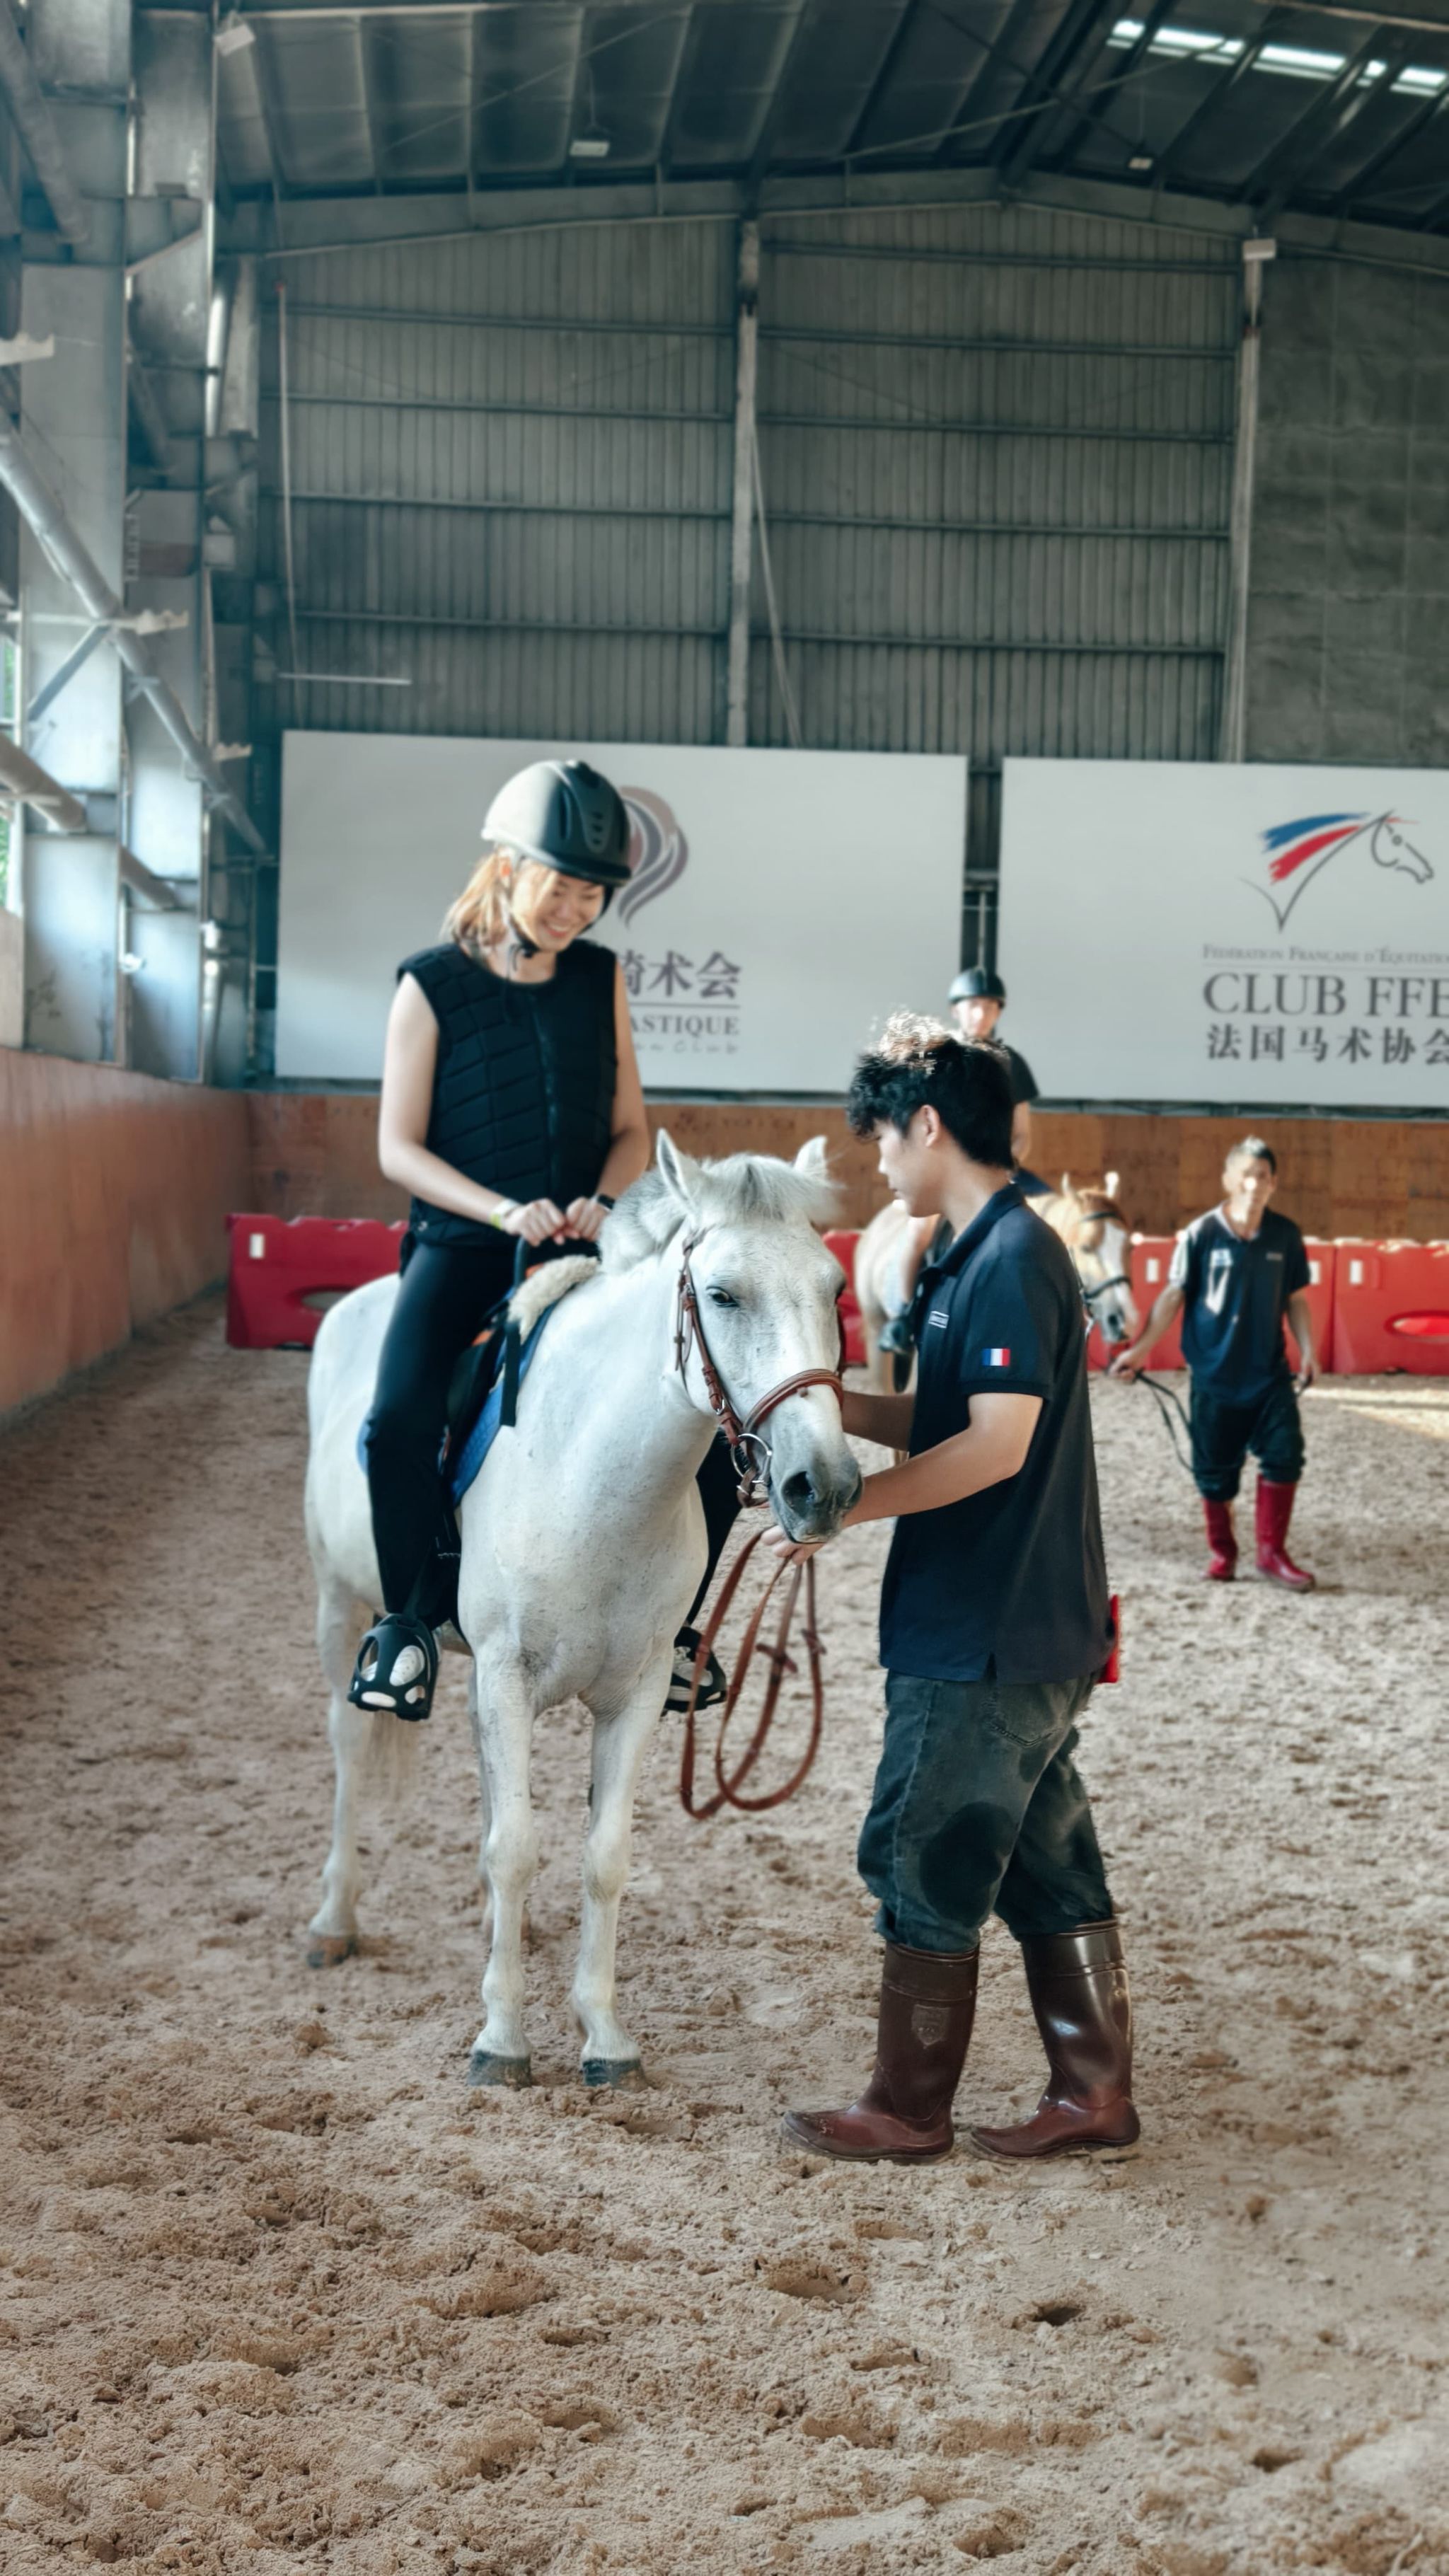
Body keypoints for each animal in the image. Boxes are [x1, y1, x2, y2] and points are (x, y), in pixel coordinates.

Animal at [303, 1132, 861, 2090]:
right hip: (342, 1603)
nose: (818, 1485)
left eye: (833, 1289)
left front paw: (602, 2034)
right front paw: (501, 2038)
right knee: (350, 1749)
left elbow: (600, 1856)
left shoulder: (630, 1693)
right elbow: (518, 1846)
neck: (589, 1475)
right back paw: (335, 1920)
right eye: (722, 1293)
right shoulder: (507, 1671)